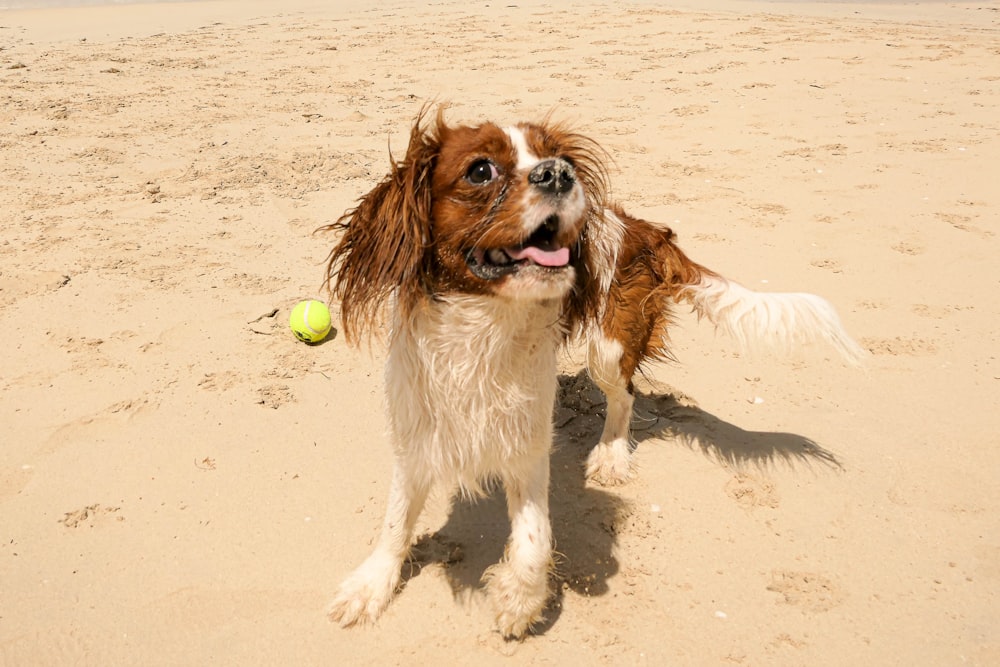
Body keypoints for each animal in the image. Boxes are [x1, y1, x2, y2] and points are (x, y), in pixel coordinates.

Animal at [320, 107, 860, 640]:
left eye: (557, 157)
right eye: (480, 170)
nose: (559, 173)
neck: (481, 324)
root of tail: (644, 227)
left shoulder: (528, 439)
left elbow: (535, 537)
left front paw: (519, 600)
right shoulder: (416, 431)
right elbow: (395, 522)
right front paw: (371, 586)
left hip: (607, 346)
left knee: (625, 396)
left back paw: (611, 454)